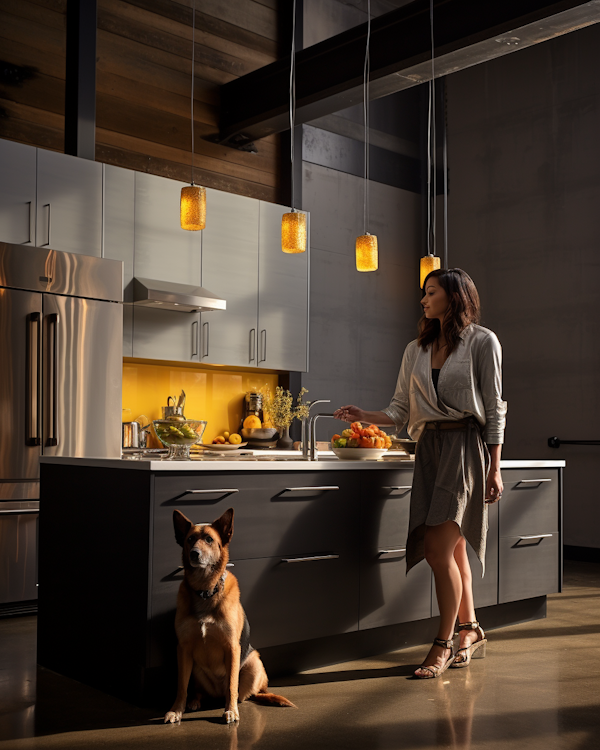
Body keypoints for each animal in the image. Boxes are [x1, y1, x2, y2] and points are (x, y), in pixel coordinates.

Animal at [164, 508, 296, 724]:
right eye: (190, 539)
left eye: (209, 539)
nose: (194, 553)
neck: (205, 591)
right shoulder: (183, 649)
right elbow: (181, 686)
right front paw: (176, 711)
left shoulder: (232, 647)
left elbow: (231, 685)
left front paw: (231, 711)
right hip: (196, 668)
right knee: (199, 690)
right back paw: (195, 701)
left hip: (254, 662)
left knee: (247, 693)